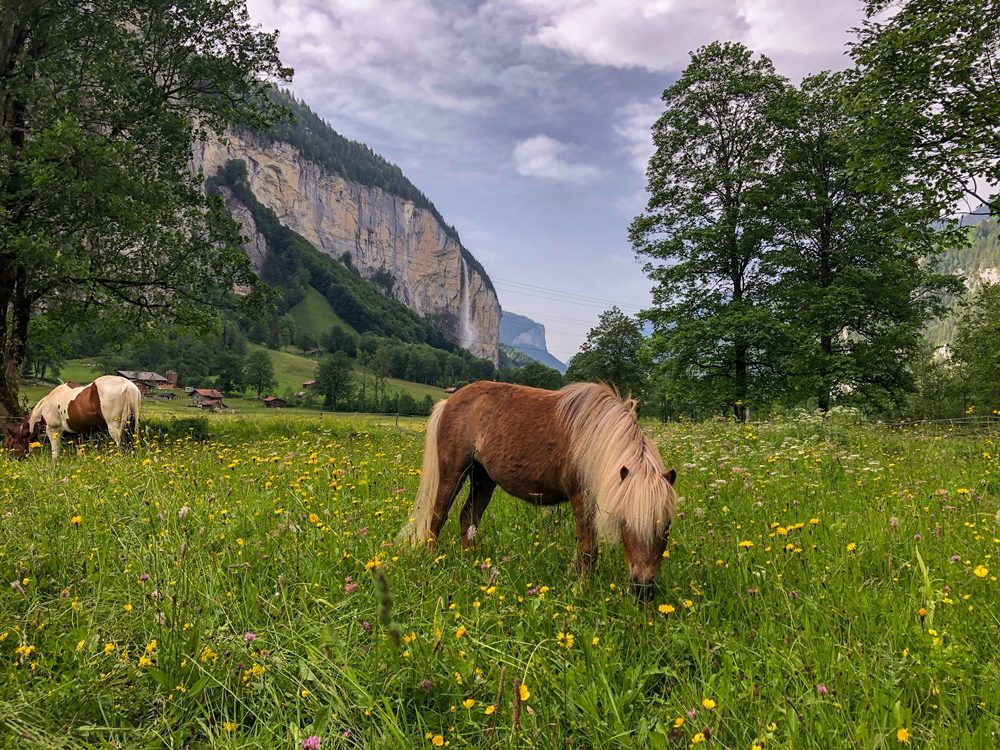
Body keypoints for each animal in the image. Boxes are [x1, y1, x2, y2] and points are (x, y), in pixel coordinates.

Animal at [4, 374, 141, 462]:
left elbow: (55, 454)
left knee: (120, 445)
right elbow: (79, 451)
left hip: (115, 427)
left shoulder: (53, 430)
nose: (11, 461)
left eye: (11, 445)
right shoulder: (77, 433)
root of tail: (127, 385)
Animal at [398, 382, 680, 600]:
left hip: (483, 479)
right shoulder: (581, 498)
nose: (643, 591)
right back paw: (433, 561)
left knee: (468, 518)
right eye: (625, 523)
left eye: (666, 524)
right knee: (438, 515)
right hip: (453, 474)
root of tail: (449, 401)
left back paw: (473, 563)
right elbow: (588, 548)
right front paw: (584, 590)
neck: (595, 440)